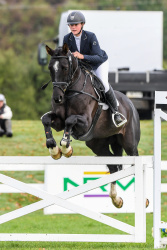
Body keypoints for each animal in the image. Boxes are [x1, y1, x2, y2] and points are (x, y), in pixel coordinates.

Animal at [41, 43, 140, 209]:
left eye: (65, 67)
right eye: (50, 68)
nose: (57, 98)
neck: (70, 91)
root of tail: (130, 103)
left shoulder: (85, 123)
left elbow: (70, 121)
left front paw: (66, 147)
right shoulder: (59, 121)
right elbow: (46, 119)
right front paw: (54, 149)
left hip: (129, 144)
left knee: (134, 161)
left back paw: (144, 201)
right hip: (98, 145)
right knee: (114, 167)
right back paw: (116, 200)